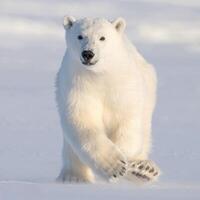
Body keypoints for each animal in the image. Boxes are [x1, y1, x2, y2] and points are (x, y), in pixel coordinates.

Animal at [55, 16, 160, 184]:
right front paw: (116, 166)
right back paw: (73, 177)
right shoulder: (78, 86)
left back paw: (144, 170)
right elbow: (84, 122)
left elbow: (128, 122)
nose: (88, 53)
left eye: (102, 38)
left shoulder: (124, 87)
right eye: (80, 36)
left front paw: (129, 163)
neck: (99, 75)